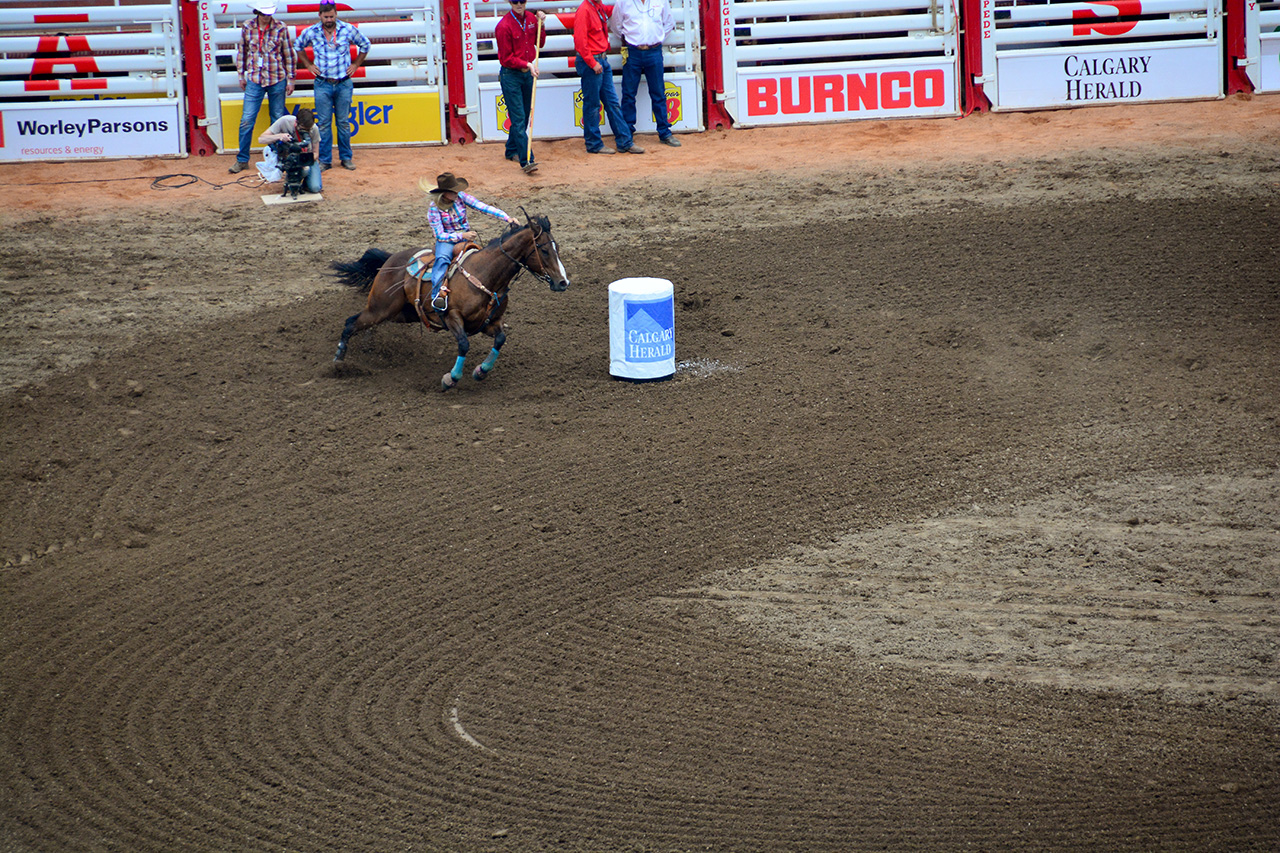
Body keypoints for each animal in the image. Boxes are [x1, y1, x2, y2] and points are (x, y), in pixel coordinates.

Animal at [330, 212, 570, 389]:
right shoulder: (452, 316)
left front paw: (481, 371)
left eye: (557, 248)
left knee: (362, 324)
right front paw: (451, 378)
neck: (486, 275)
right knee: (351, 323)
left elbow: (500, 339)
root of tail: (390, 260)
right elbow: (463, 344)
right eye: (544, 250)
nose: (563, 282)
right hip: (381, 307)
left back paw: (365, 347)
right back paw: (338, 362)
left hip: (402, 313)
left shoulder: (488, 323)